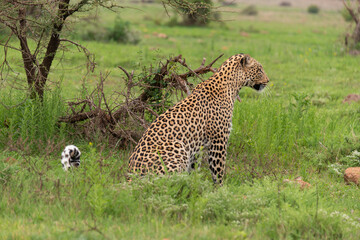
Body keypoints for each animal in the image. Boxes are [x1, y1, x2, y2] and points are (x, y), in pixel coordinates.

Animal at [128, 53, 268, 184]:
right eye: (260, 69)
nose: (268, 81)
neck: (232, 86)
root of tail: (130, 178)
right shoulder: (219, 140)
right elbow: (218, 171)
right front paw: (220, 188)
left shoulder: (197, 148)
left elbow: (195, 170)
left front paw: (195, 184)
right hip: (178, 147)